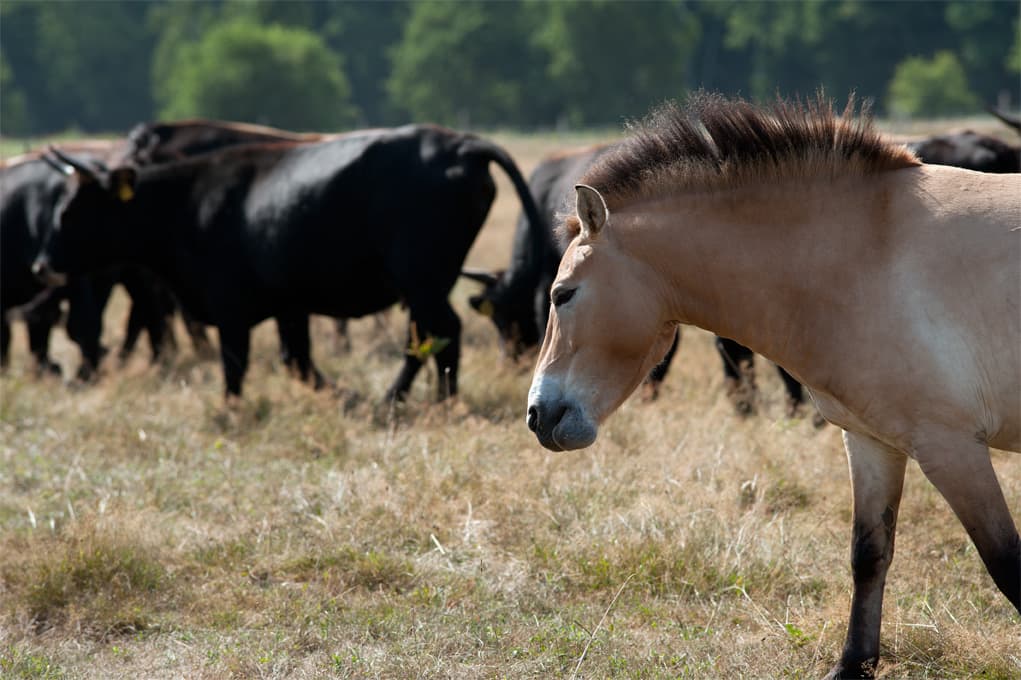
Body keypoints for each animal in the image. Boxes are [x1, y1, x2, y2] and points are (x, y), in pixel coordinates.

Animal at [35, 125, 547, 400]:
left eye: (71, 211)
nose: (42, 264)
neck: (189, 201)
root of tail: (460, 144)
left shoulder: (230, 309)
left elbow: (235, 367)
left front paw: (231, 411)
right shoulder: (290, 305)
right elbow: (297, 360)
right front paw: (343, 395)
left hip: (421, 280)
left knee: (441, 333)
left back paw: (425, 400)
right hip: (423, 284)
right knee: (424, 338)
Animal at [526, 92, 1021, 673]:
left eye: (562, 294)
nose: (538, 414)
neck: (865, 253)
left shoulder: (950, 447)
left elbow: (1006, 562)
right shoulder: (872, 441)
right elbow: (869, 554)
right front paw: (851, 665)